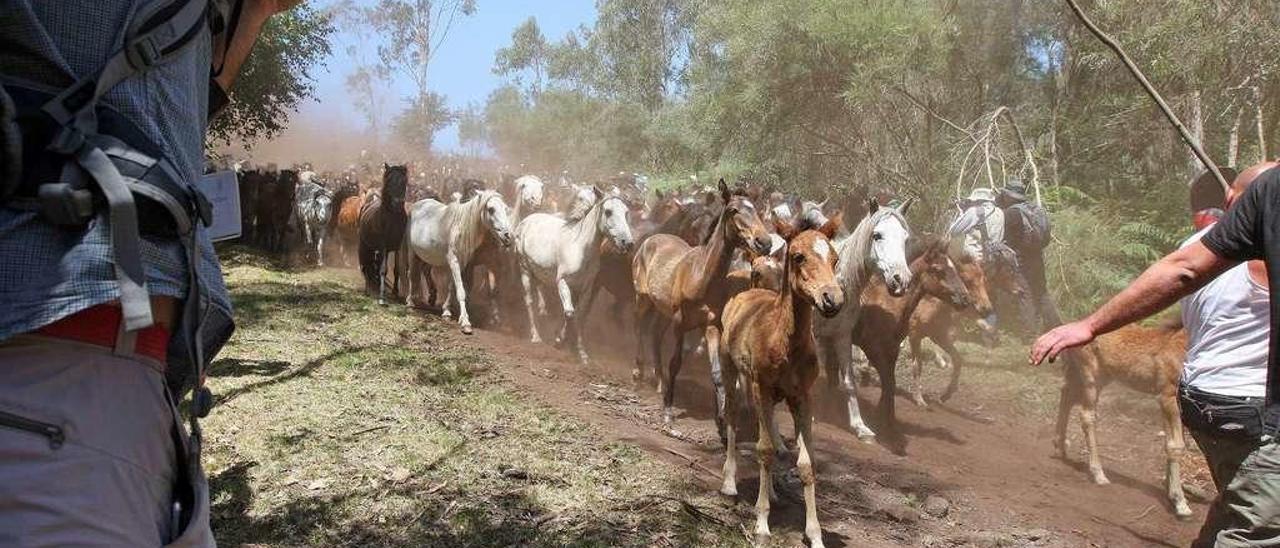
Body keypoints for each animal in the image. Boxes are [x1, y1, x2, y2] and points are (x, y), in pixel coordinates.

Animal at [407, 188, 512, 332]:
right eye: (491, 209)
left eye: (506, 208)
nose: (507, 235)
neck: (461, 229)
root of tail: (419, 203)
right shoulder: (454, 261)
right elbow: (461, 291)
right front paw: (465, 322)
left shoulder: (462, 263)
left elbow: (453, 287)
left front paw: (446, 311)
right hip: (412, 252)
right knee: (412, 274)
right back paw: (410, 302)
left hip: (427, 255)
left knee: (424, 271)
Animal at [514, 188, 634, 363]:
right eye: (608, 211)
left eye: (626, 212)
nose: (628, 243)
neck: (580, 248)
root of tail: (526, 221)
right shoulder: (562, 282)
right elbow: (570, 313)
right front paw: (559, 341)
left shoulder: (586, 289)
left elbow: (580, 316)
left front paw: (581, 353)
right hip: (525, 270)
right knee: (529, 301)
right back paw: (536, 337)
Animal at [629, 179, 768, 425]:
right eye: (734, 210)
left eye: (757, 210)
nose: (764, 242)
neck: (700, 278)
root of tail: (650, 240)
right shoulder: (680, 323)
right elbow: (675, 363)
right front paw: (668, 410)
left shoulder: (710, 325)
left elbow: (717, 372)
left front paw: (722, 416)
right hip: (642, 298)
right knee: (638, 325)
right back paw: (638, 374)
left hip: (662, 310)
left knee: (654, 333)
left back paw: (659, 382)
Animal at [716, 217, 844, 548]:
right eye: (798, 257)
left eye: (835, 258)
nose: (832, 299)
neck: (785, 342)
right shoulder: (760, 386)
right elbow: (763, 450)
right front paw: (762, 524)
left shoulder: (803, 396)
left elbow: (806, 463)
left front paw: (815, 534)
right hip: (731, 368)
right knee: (733, 417)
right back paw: (730, 484)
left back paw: (771, 491)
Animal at [814, 201, 916, 440]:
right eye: (877, 235)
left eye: (905, 238)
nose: (901, 280)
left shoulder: (841, 336)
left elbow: (849, 381)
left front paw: (859, 426)